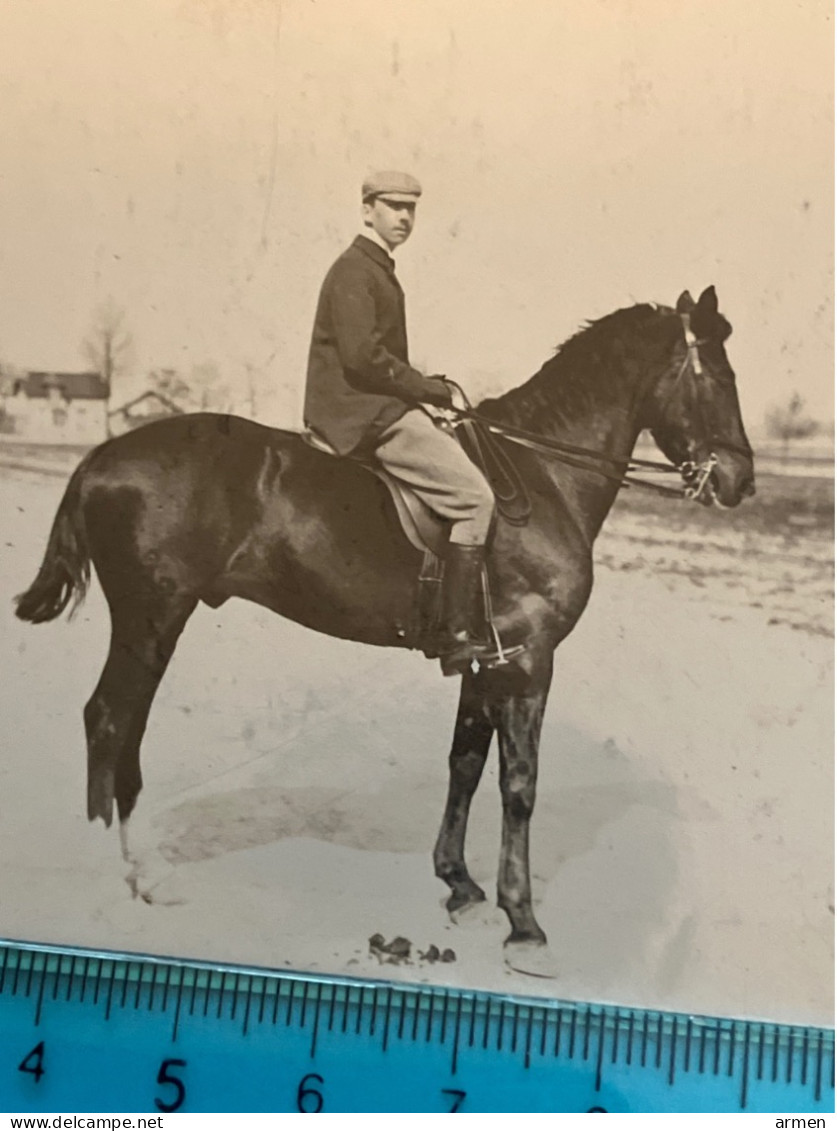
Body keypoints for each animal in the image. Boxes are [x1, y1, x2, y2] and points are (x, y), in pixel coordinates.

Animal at [17, 282, 751, 972]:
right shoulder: (529, 658)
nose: (742, 481)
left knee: (129, 728)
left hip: (158, 622)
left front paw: (461, 887)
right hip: (151, 617)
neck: (543, 475)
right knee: (109, 719)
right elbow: (519, 784)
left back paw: (150, 875)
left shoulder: (485, 657)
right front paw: (525, 927)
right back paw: (106, 879)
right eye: (717, 376)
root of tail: (102, 453)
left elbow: (465, 763)